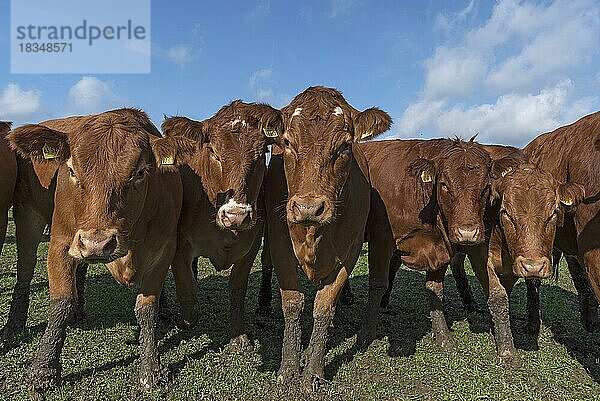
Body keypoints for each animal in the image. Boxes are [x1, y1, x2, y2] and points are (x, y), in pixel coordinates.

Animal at [7, 108, 190, 392]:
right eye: (72, 169)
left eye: (140, 172)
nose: (97, 244)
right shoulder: (61, 242)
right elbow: (60, 303)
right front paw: (43, 369)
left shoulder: (165, 249)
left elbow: (146, 308)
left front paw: (151, 369)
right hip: (28, 215)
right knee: (25, 273)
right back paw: (14, 325)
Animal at [157, 101, 284, 350]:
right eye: (214, 152)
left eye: (262, 154)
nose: (236, 215)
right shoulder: (179, 245)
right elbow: (187, 288)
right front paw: (185, 321)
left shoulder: (251, 244)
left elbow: (237, 287)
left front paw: (238, 336)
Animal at [264, 86, 392, 390]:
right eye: (287, 142)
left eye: (345, 145)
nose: (309, 208)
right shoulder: (278, 243)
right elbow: (292, 304)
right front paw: (289, 368)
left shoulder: (350, 251)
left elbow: (323, 306)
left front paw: (312, 370)